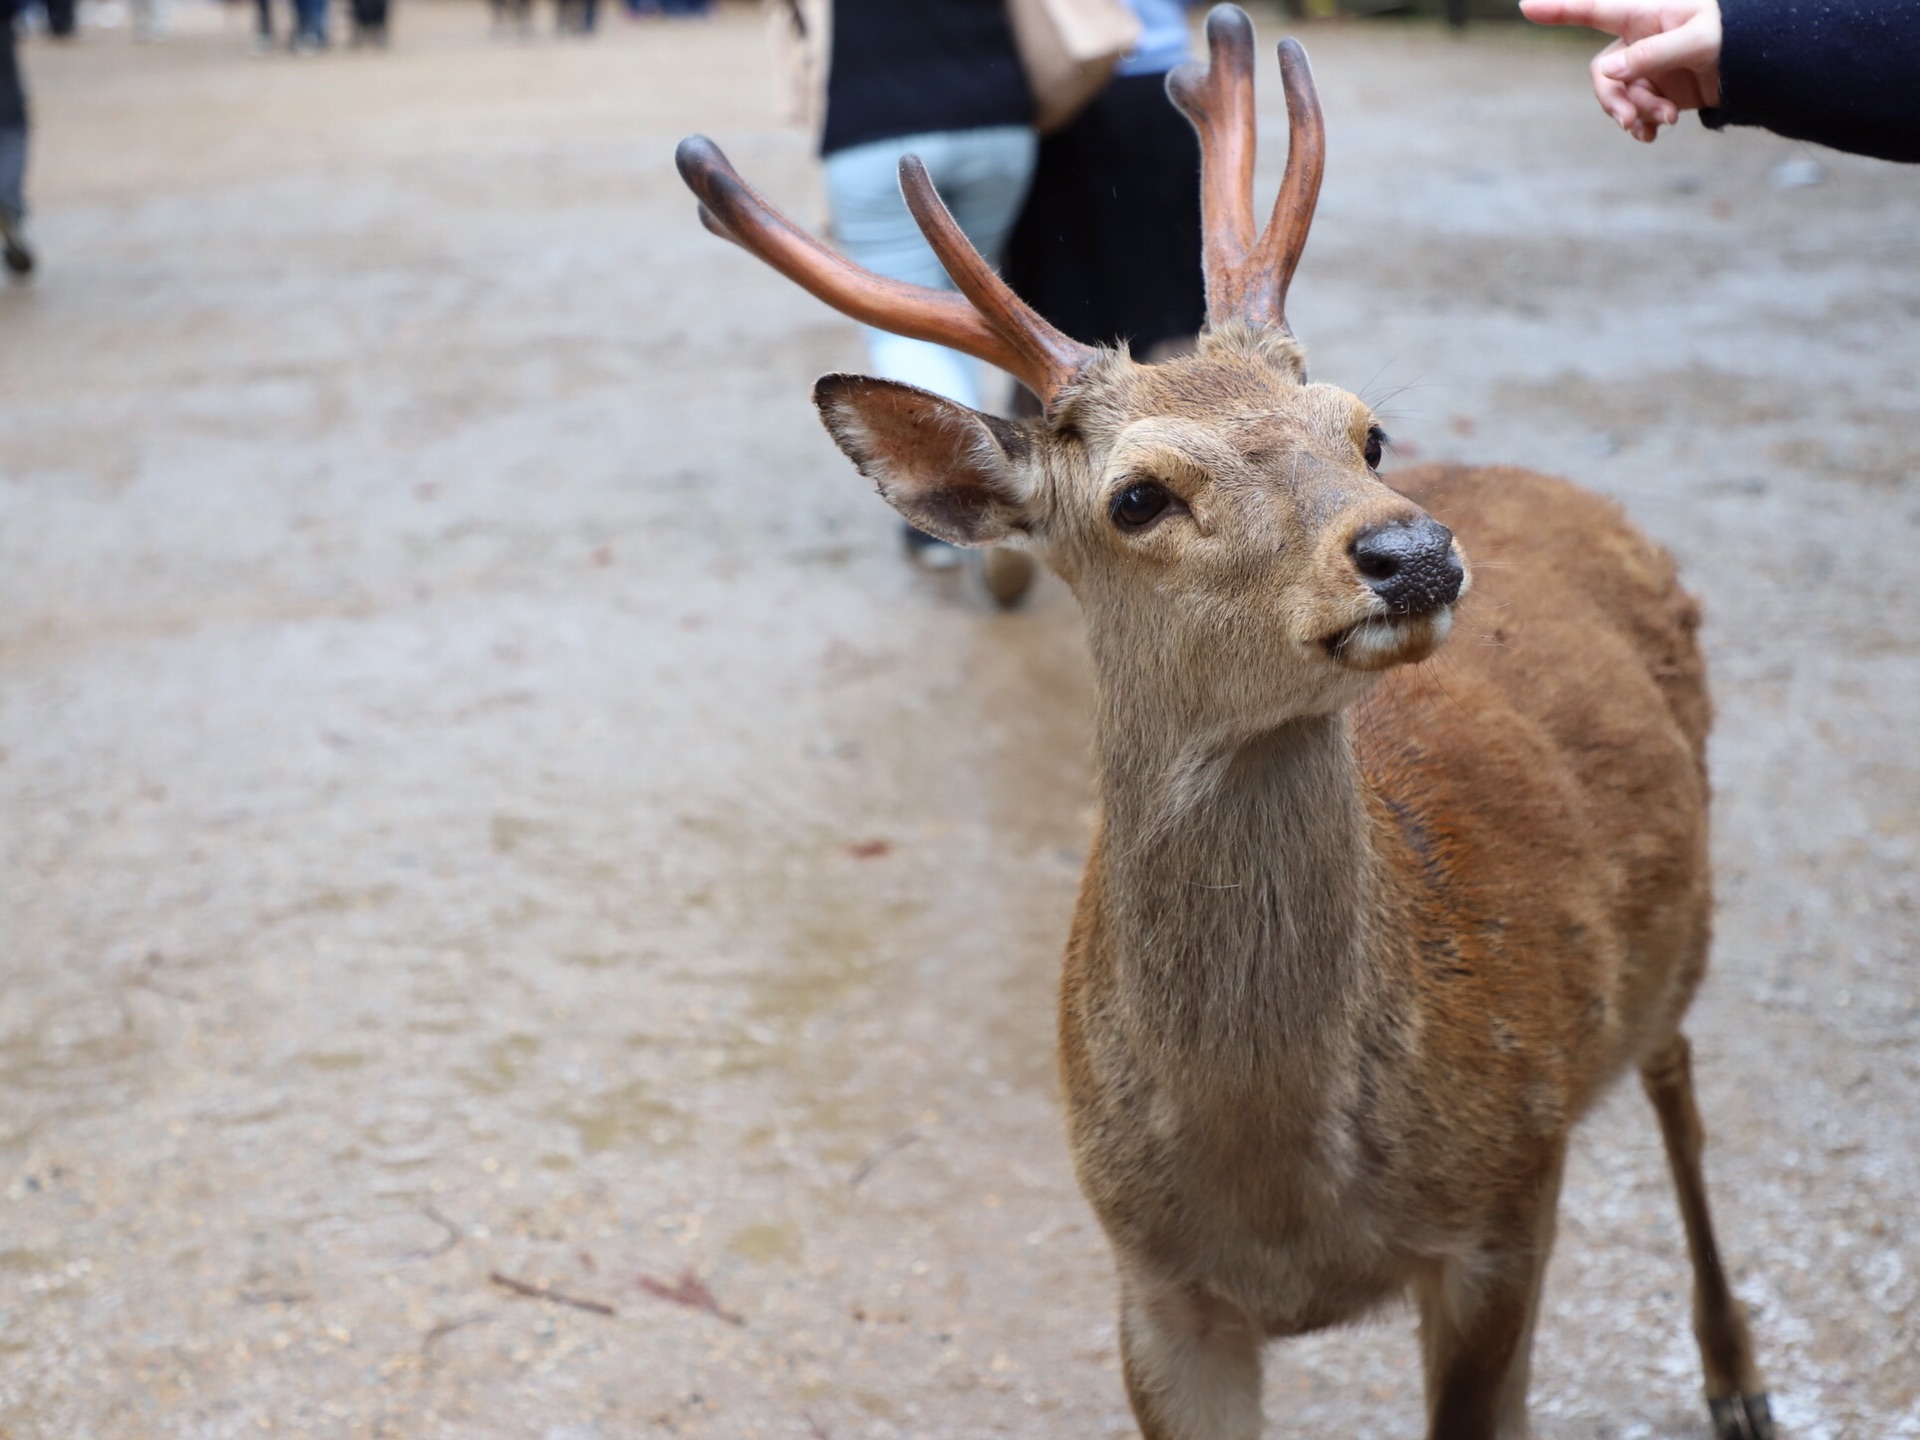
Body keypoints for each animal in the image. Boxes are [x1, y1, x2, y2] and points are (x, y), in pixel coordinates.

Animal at [679, 5, 1781, 1436]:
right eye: (1139, 497)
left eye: (1365, 432)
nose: (1414, 550)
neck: (1281, 1202)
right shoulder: (1154, 1289)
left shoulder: (1507, 1197)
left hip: (1679, 944)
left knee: (1682, 1089)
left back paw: (1738, 1377)